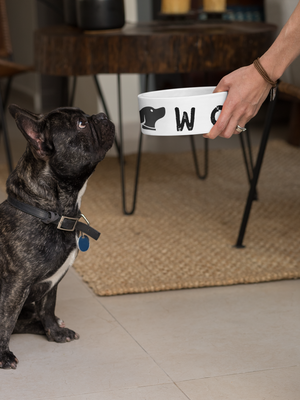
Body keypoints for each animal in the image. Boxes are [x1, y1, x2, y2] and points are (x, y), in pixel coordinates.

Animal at [0, 105, 115, 368]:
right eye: (81, 123)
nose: (102, 115)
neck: (51, 214)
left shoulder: (52, 283)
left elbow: (48, 307)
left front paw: (55, 332)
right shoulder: (14, 285)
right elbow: (6, 319)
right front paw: (2, 355)